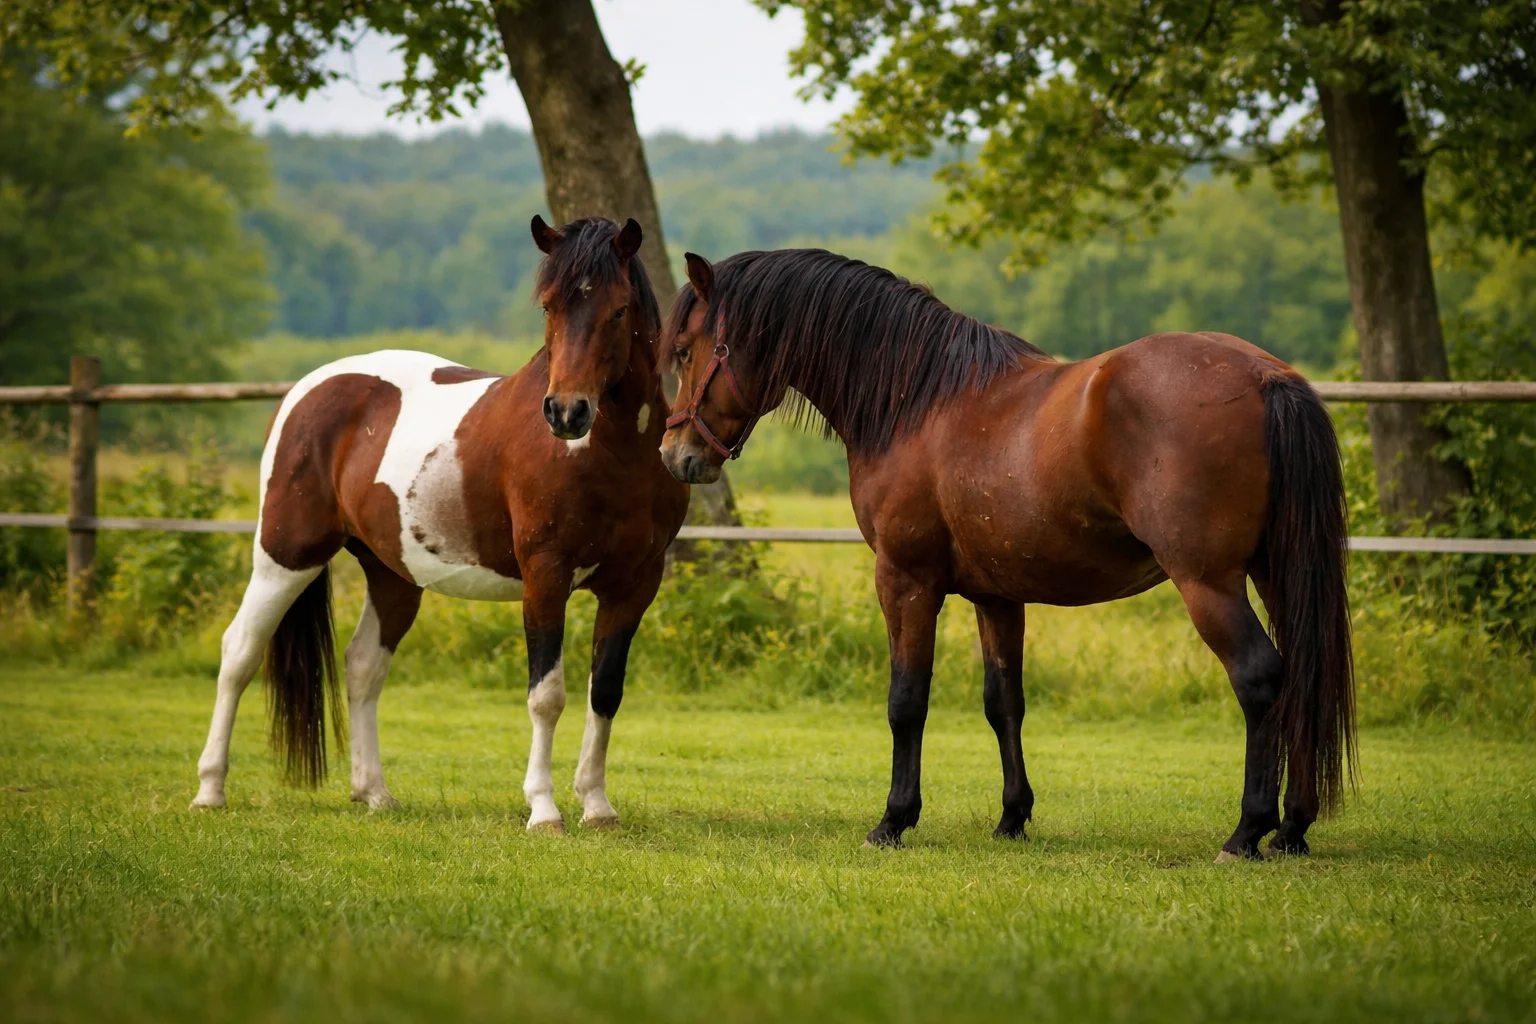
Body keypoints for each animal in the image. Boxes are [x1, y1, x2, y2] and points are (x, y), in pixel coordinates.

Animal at [191, 215, 688, 832]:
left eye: (619, 309)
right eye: (549, 306)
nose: (566, 412)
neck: (610, 454)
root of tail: (307, 390)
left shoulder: (634, 586)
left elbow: (606, 693)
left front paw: (596, 805)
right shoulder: (545, 577)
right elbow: (546, 695)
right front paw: (543, 809)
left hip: (391, 575)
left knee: (362, 667)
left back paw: (373, 793)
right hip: (286, 554)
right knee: (239, 652)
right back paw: (210, 789)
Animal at [660, 248, 1354, 861]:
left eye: (687, 350)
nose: (676, 455)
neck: (917, 400)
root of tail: (1266, 377)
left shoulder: (905, 580)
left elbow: (906, 700)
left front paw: (893, 821)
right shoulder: (996, 595)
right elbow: (1004, 703)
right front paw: (1012, 818)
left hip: (1208, 582)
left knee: (1260, 678)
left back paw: (1246, 834)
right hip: (1275, 574)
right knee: (1301, 673)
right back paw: (1292, 829)